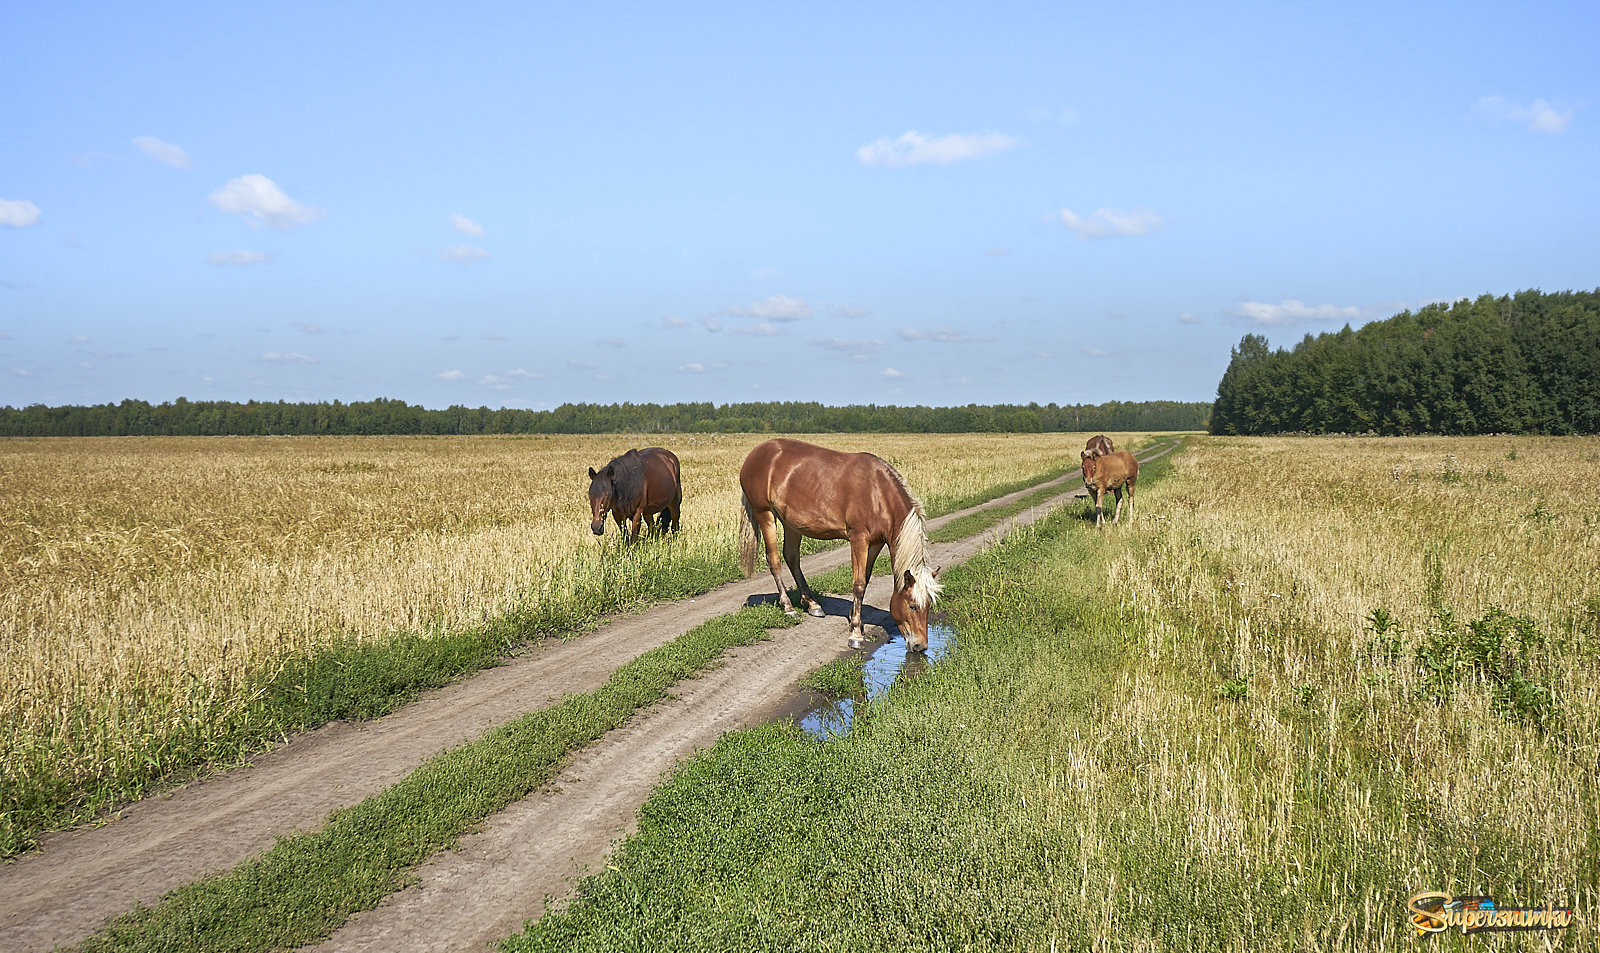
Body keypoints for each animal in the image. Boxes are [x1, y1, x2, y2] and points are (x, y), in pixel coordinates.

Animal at [736, 438, 934, 649]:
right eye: (912, 606)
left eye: (929, 605)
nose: (920, 646)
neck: (879, 495)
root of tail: (755, 453)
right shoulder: (858, 539)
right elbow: (859, 584)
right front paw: (855, 633)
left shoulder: (876, 543)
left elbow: (866, 578)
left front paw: (854, 617)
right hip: (764, 514)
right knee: (774, 559)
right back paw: (788, 607)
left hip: (791, 523)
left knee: (791, 557)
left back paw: (813, 604)